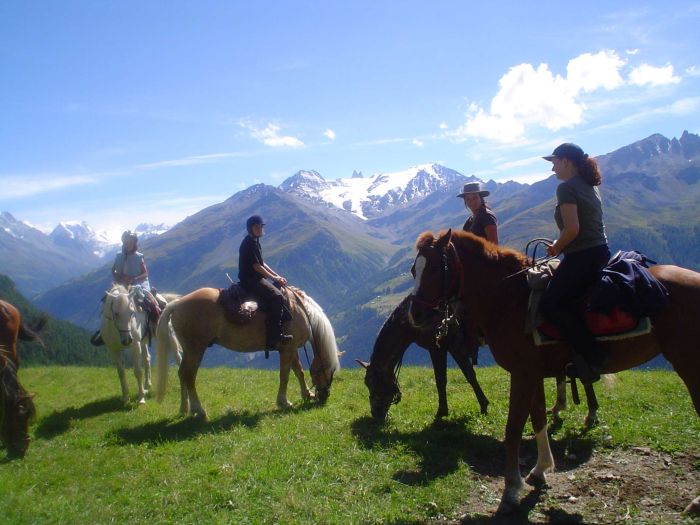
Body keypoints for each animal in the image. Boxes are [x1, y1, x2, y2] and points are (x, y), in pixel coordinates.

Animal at [154, 284, 340, 420]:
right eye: (328, 370)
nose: (325, 395)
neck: (300, 310)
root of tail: (177, 303)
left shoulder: (290, 348)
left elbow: (299, 372)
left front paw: (307, 394)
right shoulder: (287, 349)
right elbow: (285, 375)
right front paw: (284, 402)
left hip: (189, 350)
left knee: (181, 373)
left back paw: (184, 408)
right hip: (195, 350)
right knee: (189, 376)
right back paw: (198, 410)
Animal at [358, 292, 490, 420]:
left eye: (374, 383)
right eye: (366, 383)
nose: (375, 414)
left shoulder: (444, 348)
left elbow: (454, 378)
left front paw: (442, 411)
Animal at [408, 228, 696, 512]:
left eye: (436, 267)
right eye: (414, 270)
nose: (415, 315)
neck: (508, 300)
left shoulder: (523, 374)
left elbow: (513, 428)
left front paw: (512, 488)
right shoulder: (533, 374)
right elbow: (538, 419)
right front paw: (540, 469)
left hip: (687, 362)